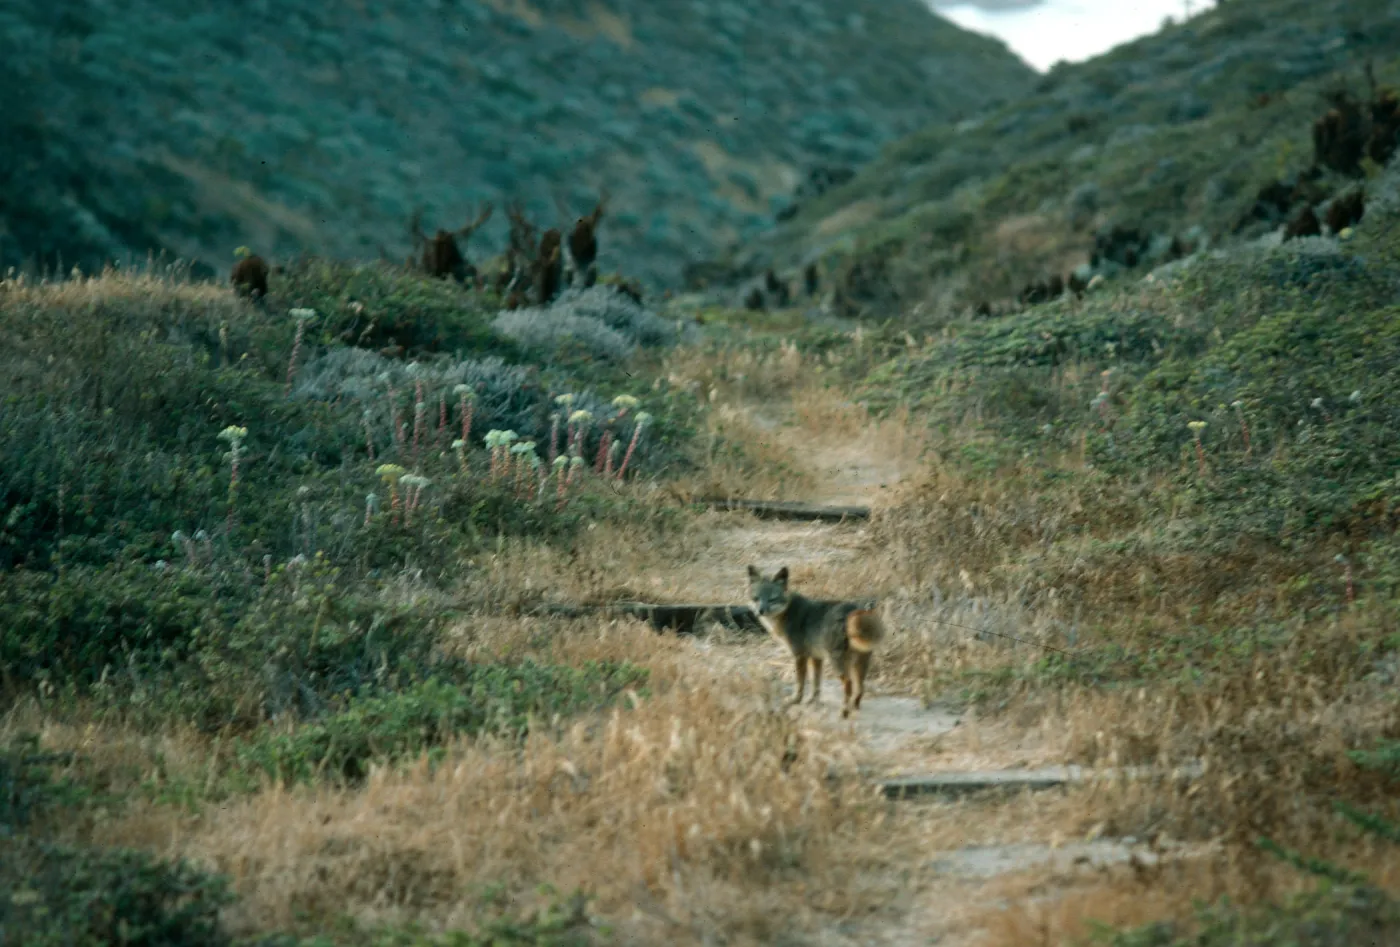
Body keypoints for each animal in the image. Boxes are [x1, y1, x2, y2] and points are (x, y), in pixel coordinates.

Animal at [746, 565, 886, 718]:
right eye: (756, 598)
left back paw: (844, 712)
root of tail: (853, 610)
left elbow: (800, 683)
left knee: (848, 685)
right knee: (860, 687)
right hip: (858, 666)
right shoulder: (816, 657)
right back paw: (854, 707)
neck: (787, 612)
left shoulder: (800, 656)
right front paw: (813, 700)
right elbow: (816, 683)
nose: (760, 611)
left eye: (772, 599)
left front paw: (796, 700)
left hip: (838, 663)